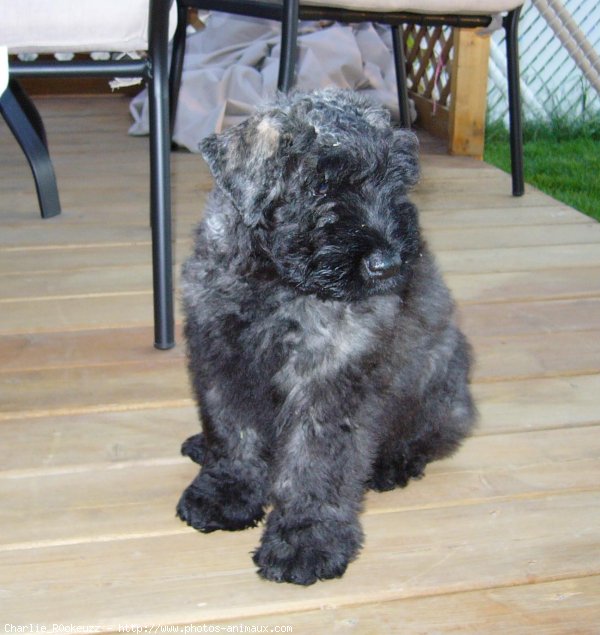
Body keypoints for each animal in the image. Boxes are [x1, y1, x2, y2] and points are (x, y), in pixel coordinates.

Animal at [176, 89, 476, 588]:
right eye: (319, 185)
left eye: (397, 180)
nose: (388, 265)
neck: (275, 282)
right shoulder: (221, 359)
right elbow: (233, 434)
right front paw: (226, 493)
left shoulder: (329, 382)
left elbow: (314, 465)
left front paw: (305, 539)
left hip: (440, 379)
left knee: (435, 432)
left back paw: (392, 464)